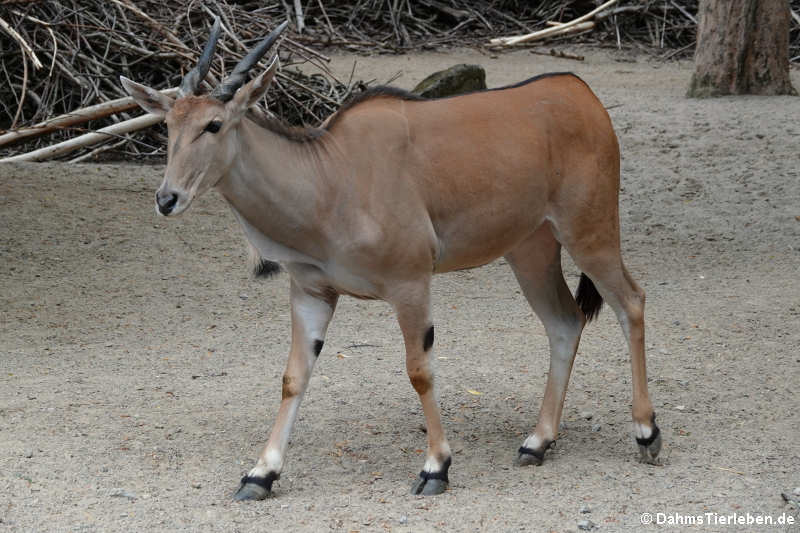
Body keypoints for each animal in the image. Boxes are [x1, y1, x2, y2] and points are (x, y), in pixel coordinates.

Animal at [122, 17, 664, 498]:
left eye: (213, 124)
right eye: (168, 124)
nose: (167, 198)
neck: (329, 177)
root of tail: (580, 93)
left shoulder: (411, 284)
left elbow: (419, 371)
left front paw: (436, 467)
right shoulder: (312, 291)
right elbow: (293, 377)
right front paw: (261, 474)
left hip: (590, 233)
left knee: (631, 302)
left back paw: (646, 432)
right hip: (531, 253)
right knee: (565, 322)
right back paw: (538, 441)